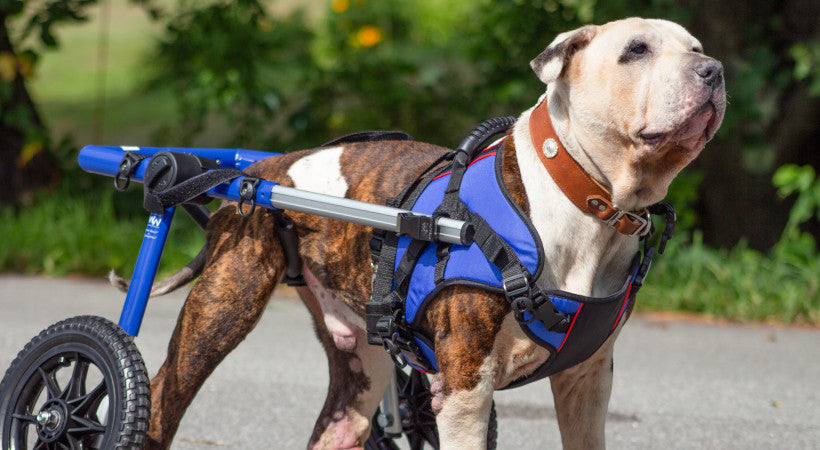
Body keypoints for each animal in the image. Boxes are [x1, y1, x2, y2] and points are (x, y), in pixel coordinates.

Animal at [139, 16, 724, 446]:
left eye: (696, 47)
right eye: (636, 50)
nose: (714, 69)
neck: (590, 201)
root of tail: (262, 170)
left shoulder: (587, 383)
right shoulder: (465, 390)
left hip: (362, 360)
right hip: (221, 304)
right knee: (163, 395)